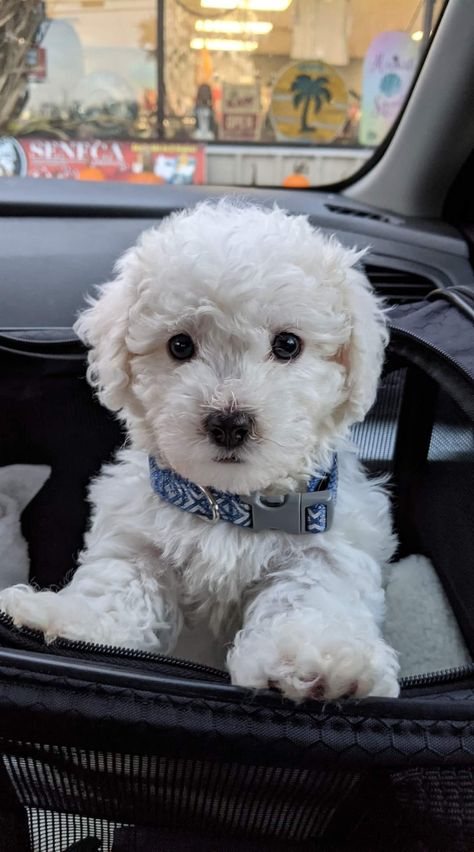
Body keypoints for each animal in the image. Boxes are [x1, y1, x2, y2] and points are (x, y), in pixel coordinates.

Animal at [0, 205, 400, 700]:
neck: (229, 505)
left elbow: (310, 595)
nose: (229, 423)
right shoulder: (138, 538)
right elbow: (118, 588)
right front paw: (64, 619)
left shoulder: (328, 544)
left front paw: (312, 658)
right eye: (179, 345)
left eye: (288, 344)